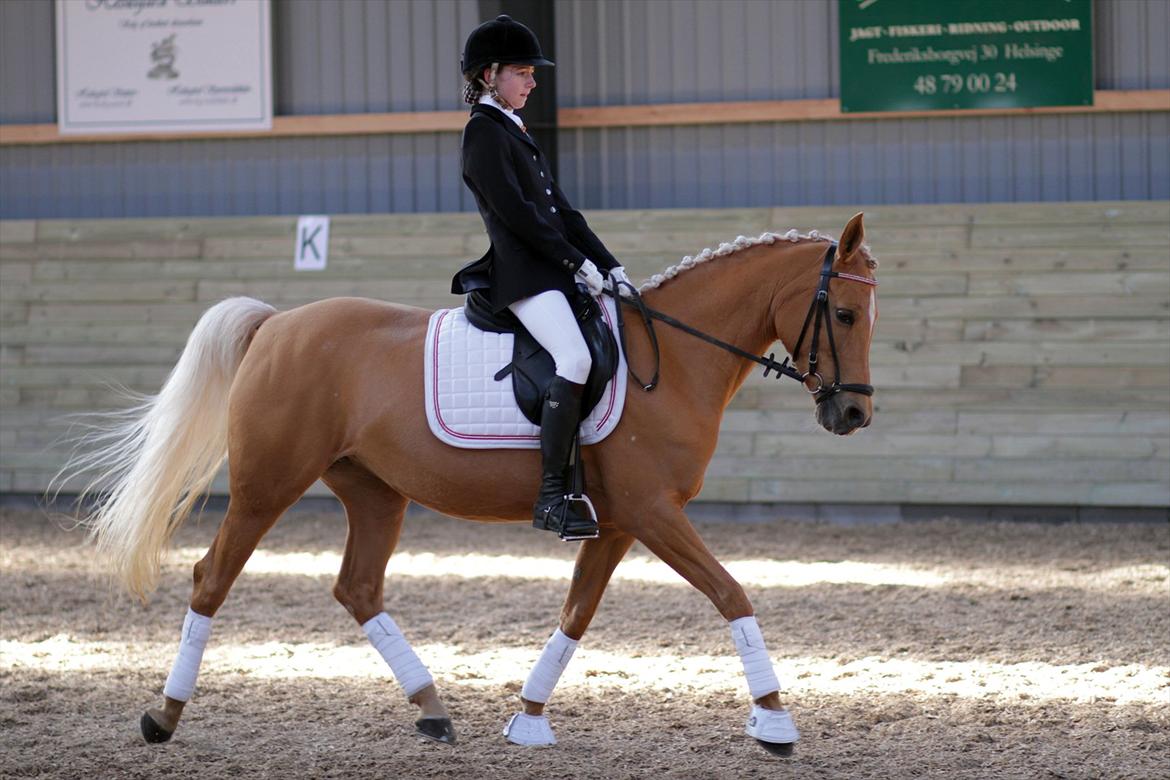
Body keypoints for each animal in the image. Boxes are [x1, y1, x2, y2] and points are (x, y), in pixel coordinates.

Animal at [59, 211, 875, 757]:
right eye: (842, 312)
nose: (854, 414)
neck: (669, 358)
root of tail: (278, 324)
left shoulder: (617, 522)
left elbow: (576, 614)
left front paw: (529, 718)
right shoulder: (653, 513)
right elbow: (732, 593)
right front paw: (774, 720)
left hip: (375, 493)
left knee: (357, 588)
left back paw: (431, 707)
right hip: (268, 485)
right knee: (211, 579)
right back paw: (163, 717)